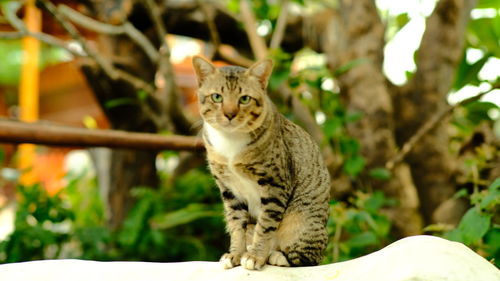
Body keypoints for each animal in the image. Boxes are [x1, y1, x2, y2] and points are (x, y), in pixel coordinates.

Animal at [193, 55, 330, 270]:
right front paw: (236, 254)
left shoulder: (275, 184)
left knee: (309, 259)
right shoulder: (228, 189)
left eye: (244, 99)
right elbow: (236, 225)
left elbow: (265, 225)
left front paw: (255, 256)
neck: (231, 141)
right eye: (217, 97)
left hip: (303, 222)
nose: (229, 114)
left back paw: (276, 256)